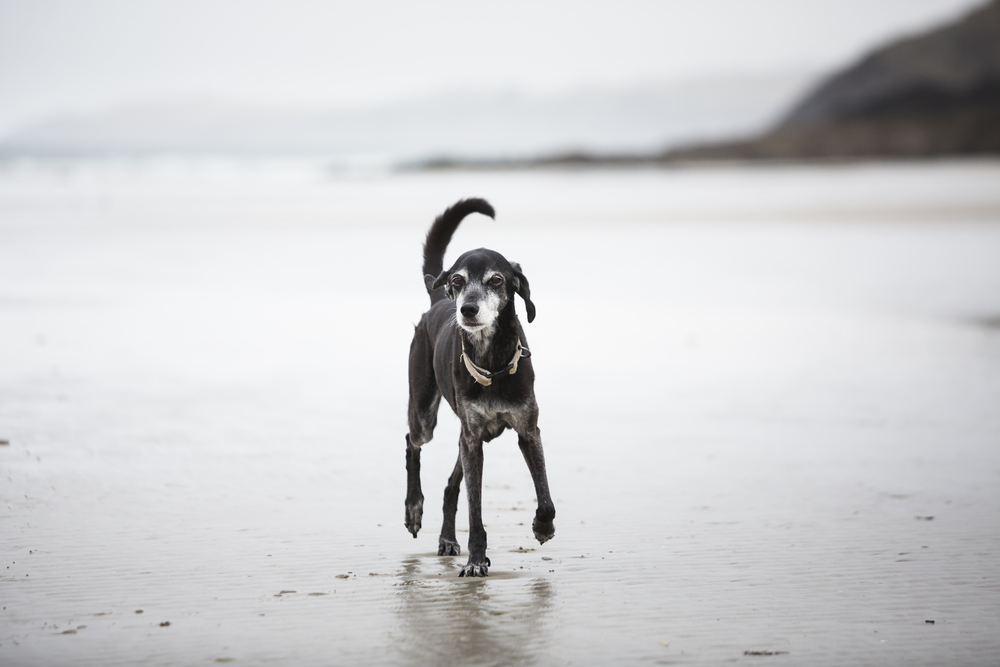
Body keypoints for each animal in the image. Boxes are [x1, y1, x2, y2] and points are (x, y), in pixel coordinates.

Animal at [404, 197, 556, 576]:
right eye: (458, 280)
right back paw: (413, 509)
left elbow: (545, 496)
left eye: (497, 280)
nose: (468, 309)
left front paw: (543, 526)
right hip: (427, 414)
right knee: (413, 441)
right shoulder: (472, 440)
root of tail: (437, 301)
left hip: (472, 434)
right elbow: (475, 512)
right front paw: (476, 559)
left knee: (449, 486)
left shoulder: (527, 431)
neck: (492, 364)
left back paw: (446, 538)